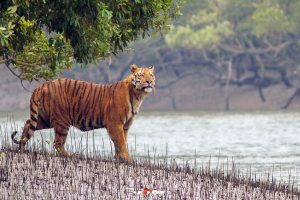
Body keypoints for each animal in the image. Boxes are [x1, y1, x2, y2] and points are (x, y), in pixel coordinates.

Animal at [10, 64, 156, 161]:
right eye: (141, 74)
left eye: (151, 75)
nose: (149, 81)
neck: (138, 95)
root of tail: (41, 86)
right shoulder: (115, 123)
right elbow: (120, 142)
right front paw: (127, 159)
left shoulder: (125, 125)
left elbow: (121, 142)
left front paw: (119, 158)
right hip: (62, 120)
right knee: (57, 142)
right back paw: (70, 156)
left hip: (45, 119)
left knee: (28, 124)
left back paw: (21, 147)